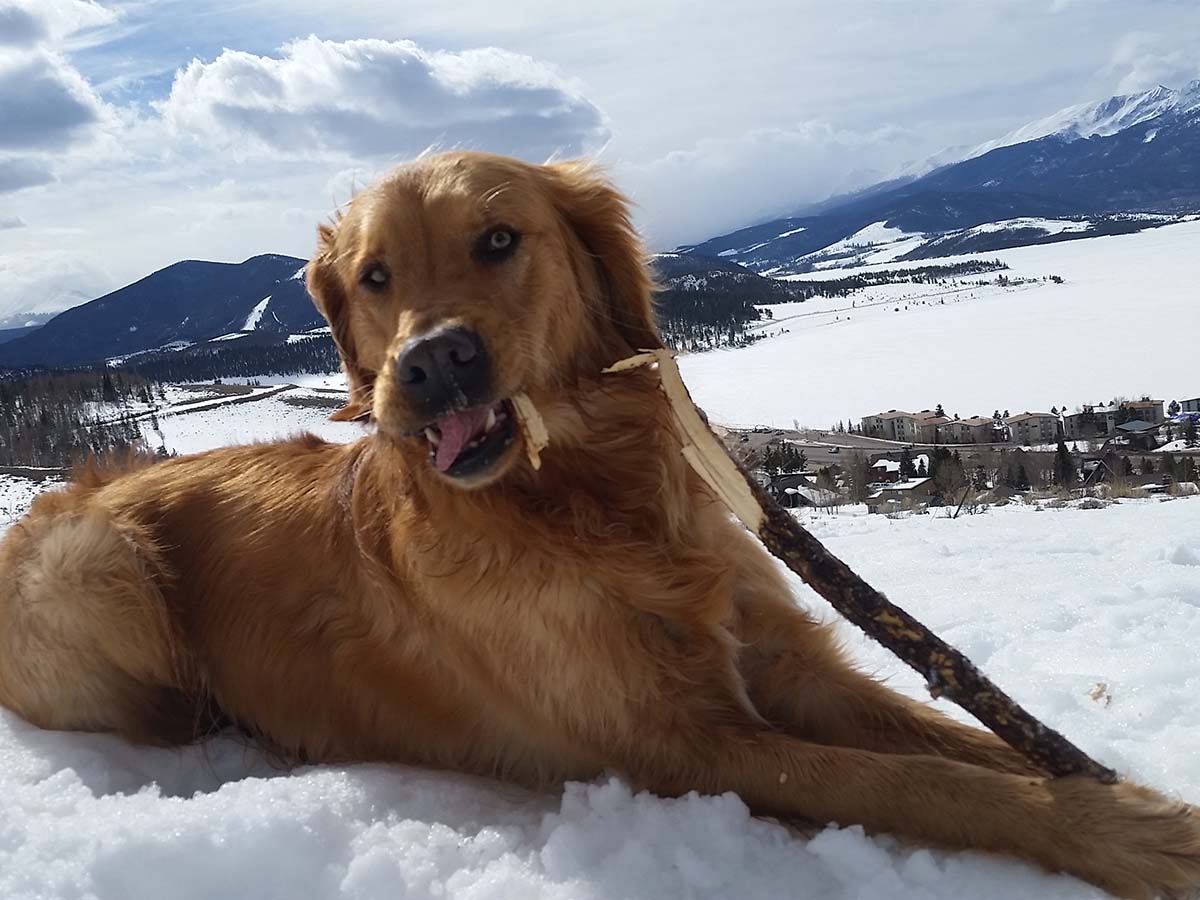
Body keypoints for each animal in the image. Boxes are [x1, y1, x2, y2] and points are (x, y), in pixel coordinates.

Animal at [2, 151, 1200, 897]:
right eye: (374, 275)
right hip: (97, 563)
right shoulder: (681, 744)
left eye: (499, 239)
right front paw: (1139, 837)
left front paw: (1124, 793)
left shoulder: (786, 660)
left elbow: (962, 747)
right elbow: (931, 786)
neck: (587, 499)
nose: (432, 362)